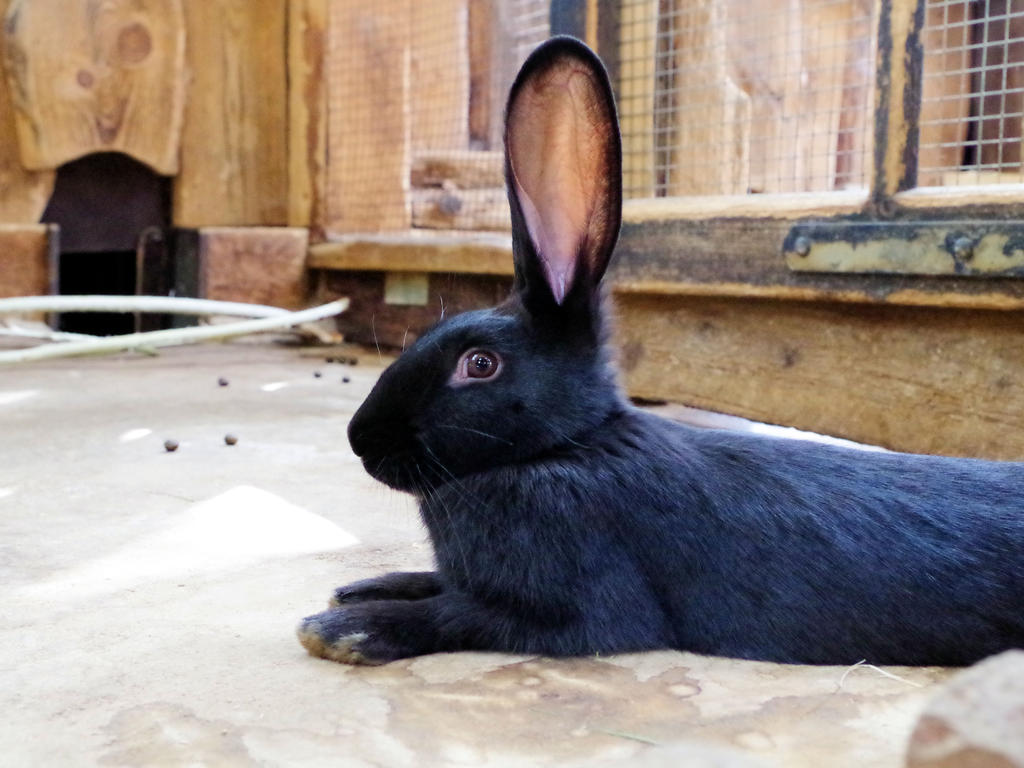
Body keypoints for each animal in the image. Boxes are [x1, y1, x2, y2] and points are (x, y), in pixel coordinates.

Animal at [297, 36, 1024, 667]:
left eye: (480, 365)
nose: (360, 437)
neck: (568, 449)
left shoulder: (577, 609)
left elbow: (462, 614)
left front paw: (343, 627)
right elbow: (437, 584)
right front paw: (365, 587)